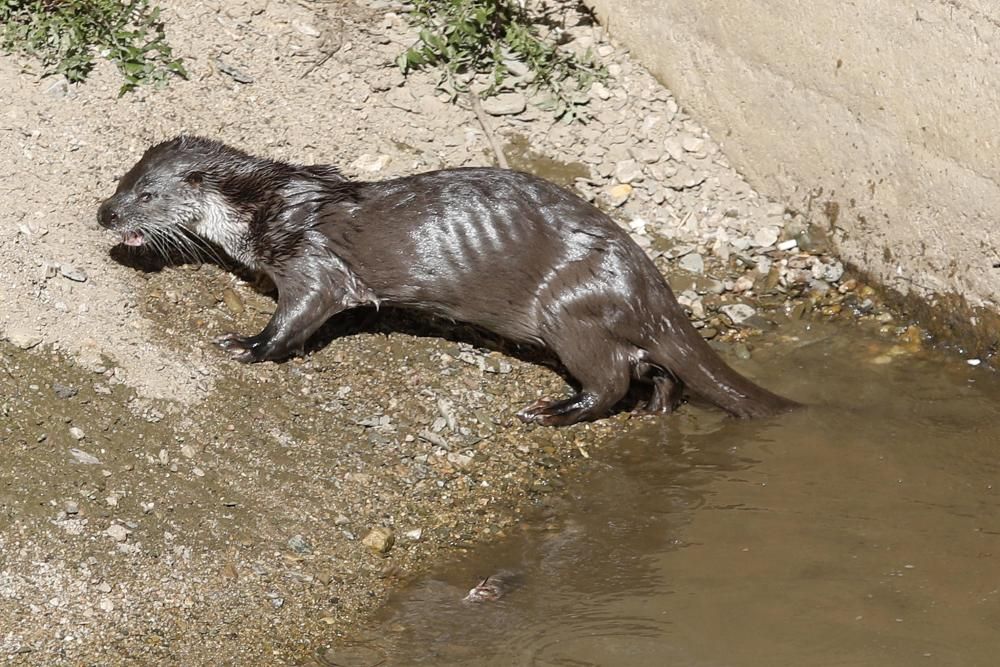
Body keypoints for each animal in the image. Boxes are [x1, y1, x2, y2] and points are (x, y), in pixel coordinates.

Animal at [95, 138, 796, 426]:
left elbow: (297, 317)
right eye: (121, 179)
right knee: (650, 366)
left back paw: (550, 410)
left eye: (147, 194)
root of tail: (646, 276)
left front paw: (246, 344)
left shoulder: (312, 264)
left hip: (569, 311)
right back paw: (658, 407)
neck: (269, 206)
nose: (105, 213)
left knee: (609, 379)